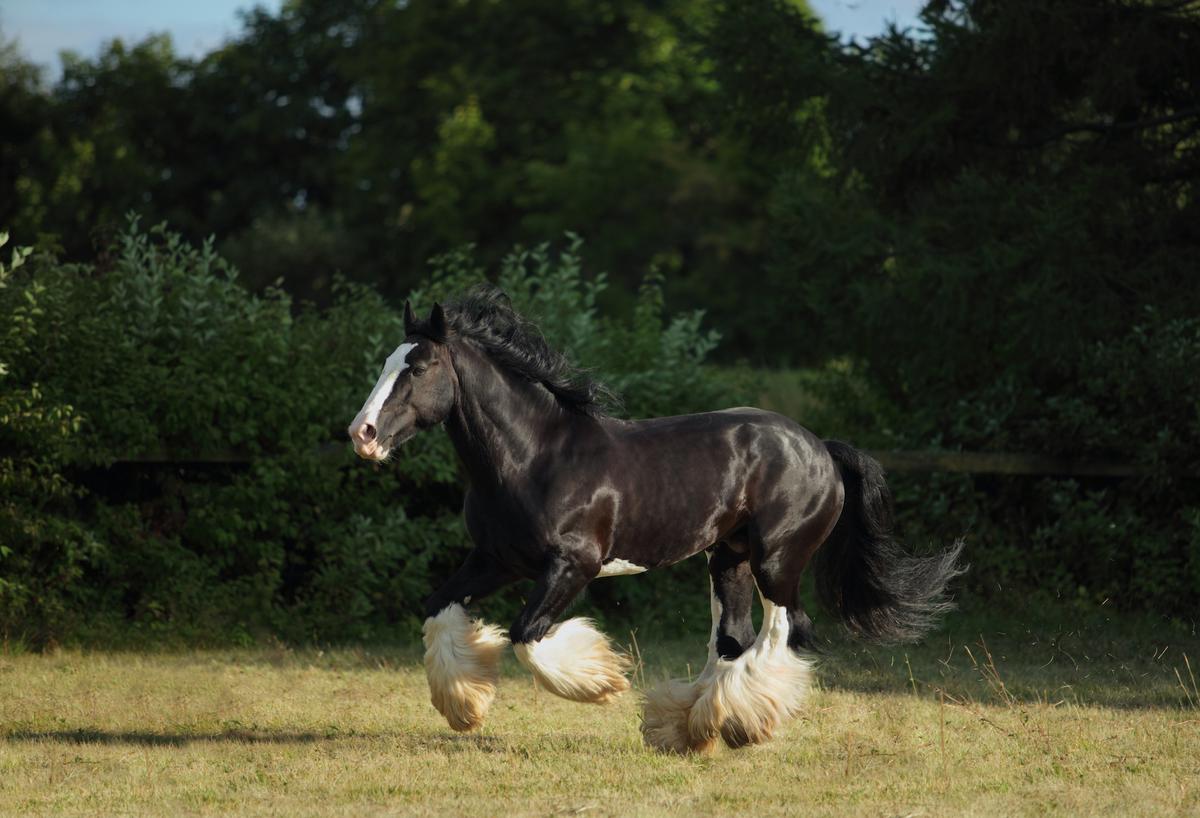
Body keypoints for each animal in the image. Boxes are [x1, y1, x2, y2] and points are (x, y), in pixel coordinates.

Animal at [347, 289, 965, 753]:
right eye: (385, 363)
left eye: (419, 366)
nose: (363, 434)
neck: (534, 456)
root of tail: (821, 448)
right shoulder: (496, 560)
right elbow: (439, 609)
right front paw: (465, 708)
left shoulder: (573, 566)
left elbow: (527, 635)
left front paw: (602, 682)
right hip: (728, 559)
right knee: (732, 639)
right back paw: (694, 727)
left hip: (777, 560)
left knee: (783, 631)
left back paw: (741, 725)